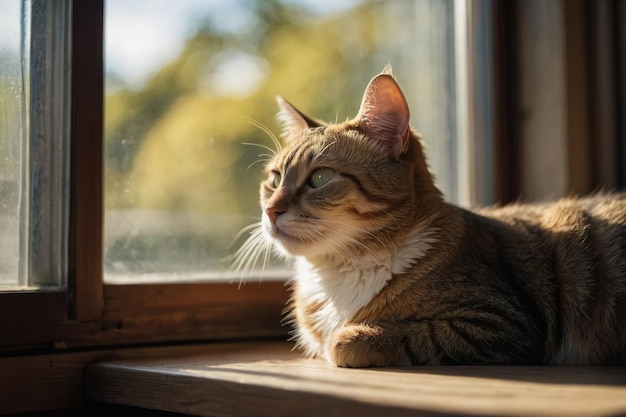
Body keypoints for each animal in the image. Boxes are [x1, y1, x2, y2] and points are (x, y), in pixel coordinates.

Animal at [233, 66, 624, 366]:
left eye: (319, 178)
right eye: (274, 179)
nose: (270, 210)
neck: (338, 272)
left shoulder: (501, 322)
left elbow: (408, 334)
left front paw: (352, 338)